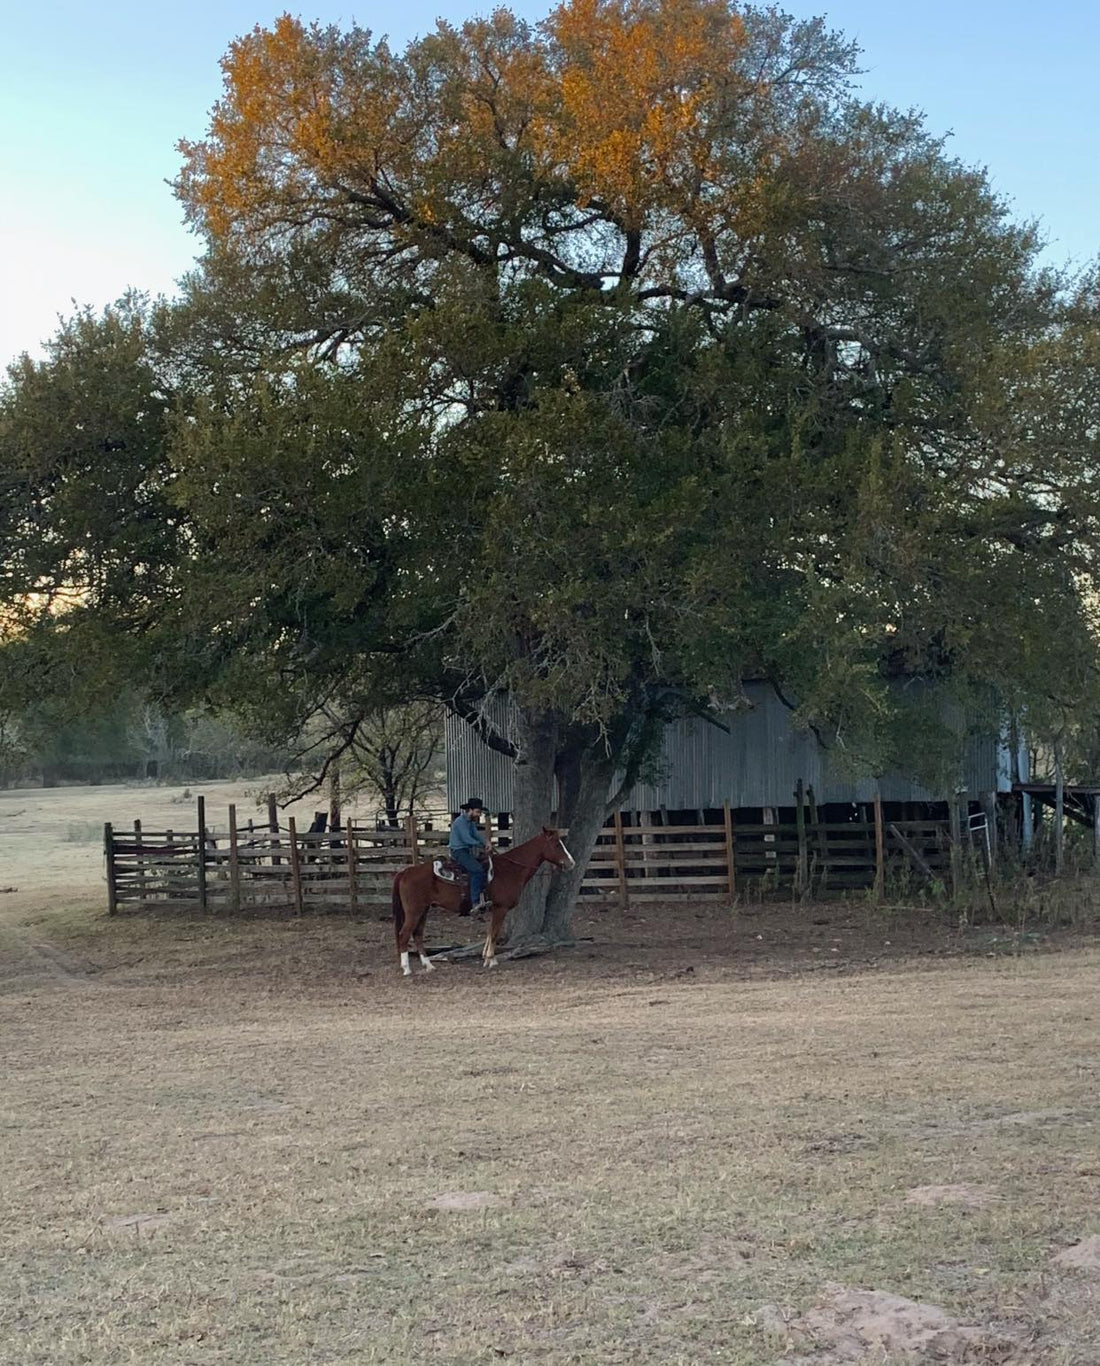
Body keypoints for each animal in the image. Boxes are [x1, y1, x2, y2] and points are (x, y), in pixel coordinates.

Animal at [390, 825, 573, 978]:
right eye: (557, 845)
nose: (571, 863)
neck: (510, 869)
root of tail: (406, 872)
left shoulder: (495, 909)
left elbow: (490, 932)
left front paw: (486, 958)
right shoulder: (501, 908)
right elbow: (495, 933)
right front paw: (491, 960)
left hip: (424, 909)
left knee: (418, 934)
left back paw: (428, 966)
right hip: (414, 911)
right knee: (404, 934)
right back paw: (407, 969)